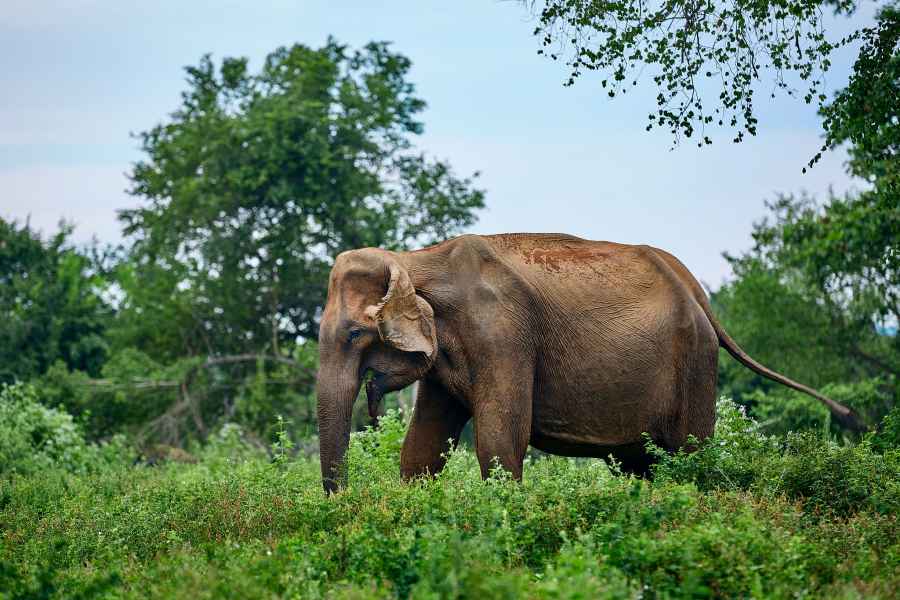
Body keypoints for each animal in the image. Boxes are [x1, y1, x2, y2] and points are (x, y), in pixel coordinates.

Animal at [316, 233, 863, 493]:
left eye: (355, 334)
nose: (341, 504)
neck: (418, 259)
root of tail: (698, 291)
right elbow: (422, 447)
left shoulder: (504, 336)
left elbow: (499, 443)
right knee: (641, 465)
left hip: (695, 360)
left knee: (690, 456)